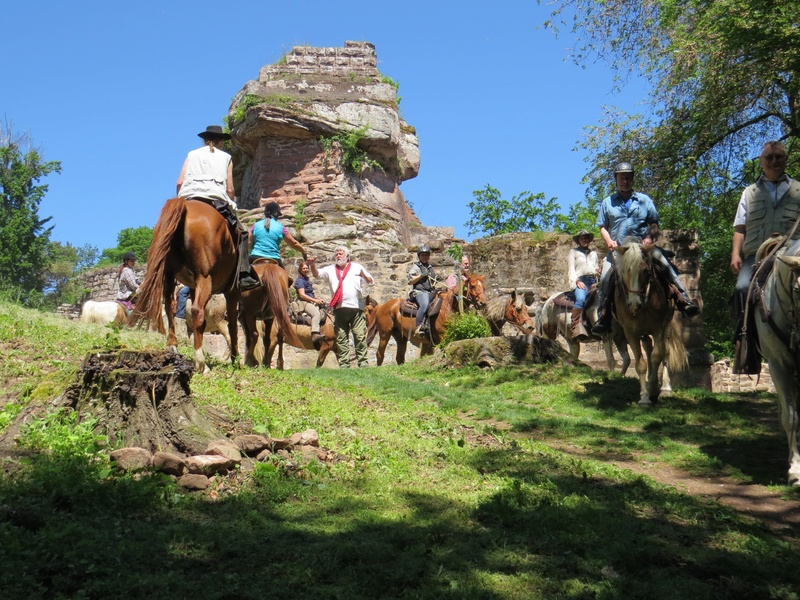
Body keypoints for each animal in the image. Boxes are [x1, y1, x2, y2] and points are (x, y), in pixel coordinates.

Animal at [128, 199, 239, 372]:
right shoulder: (229, 290)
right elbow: (232, 325)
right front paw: (236, 360)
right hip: (205, 280)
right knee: (199, 313)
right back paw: (202, 361)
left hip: (175, 276)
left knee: (173, 307)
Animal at [612, 241, 688, 406]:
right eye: (624, 271)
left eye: (646, 270)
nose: (634, 305)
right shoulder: (631, 332)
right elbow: (640, 363)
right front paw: (644, 397)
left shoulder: (658, 328)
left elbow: (657, 356)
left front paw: (653, 389)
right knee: (648, 348)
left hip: (667, 324)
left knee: (665, 352)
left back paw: (665, 388)